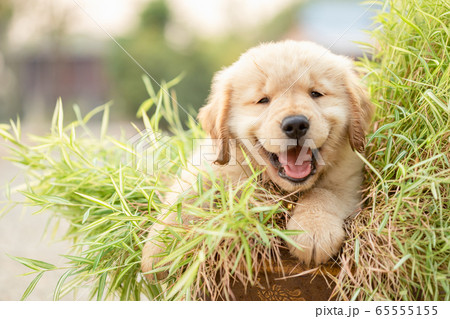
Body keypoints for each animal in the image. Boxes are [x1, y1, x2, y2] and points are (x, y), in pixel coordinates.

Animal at [142, 40, 374, 280]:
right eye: (263, 100)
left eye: (316, 93)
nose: (296, 125)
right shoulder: (208, 164)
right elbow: (186, 195)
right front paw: (159, 247)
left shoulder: (349, 179)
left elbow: (324, 193)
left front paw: (313, 230)